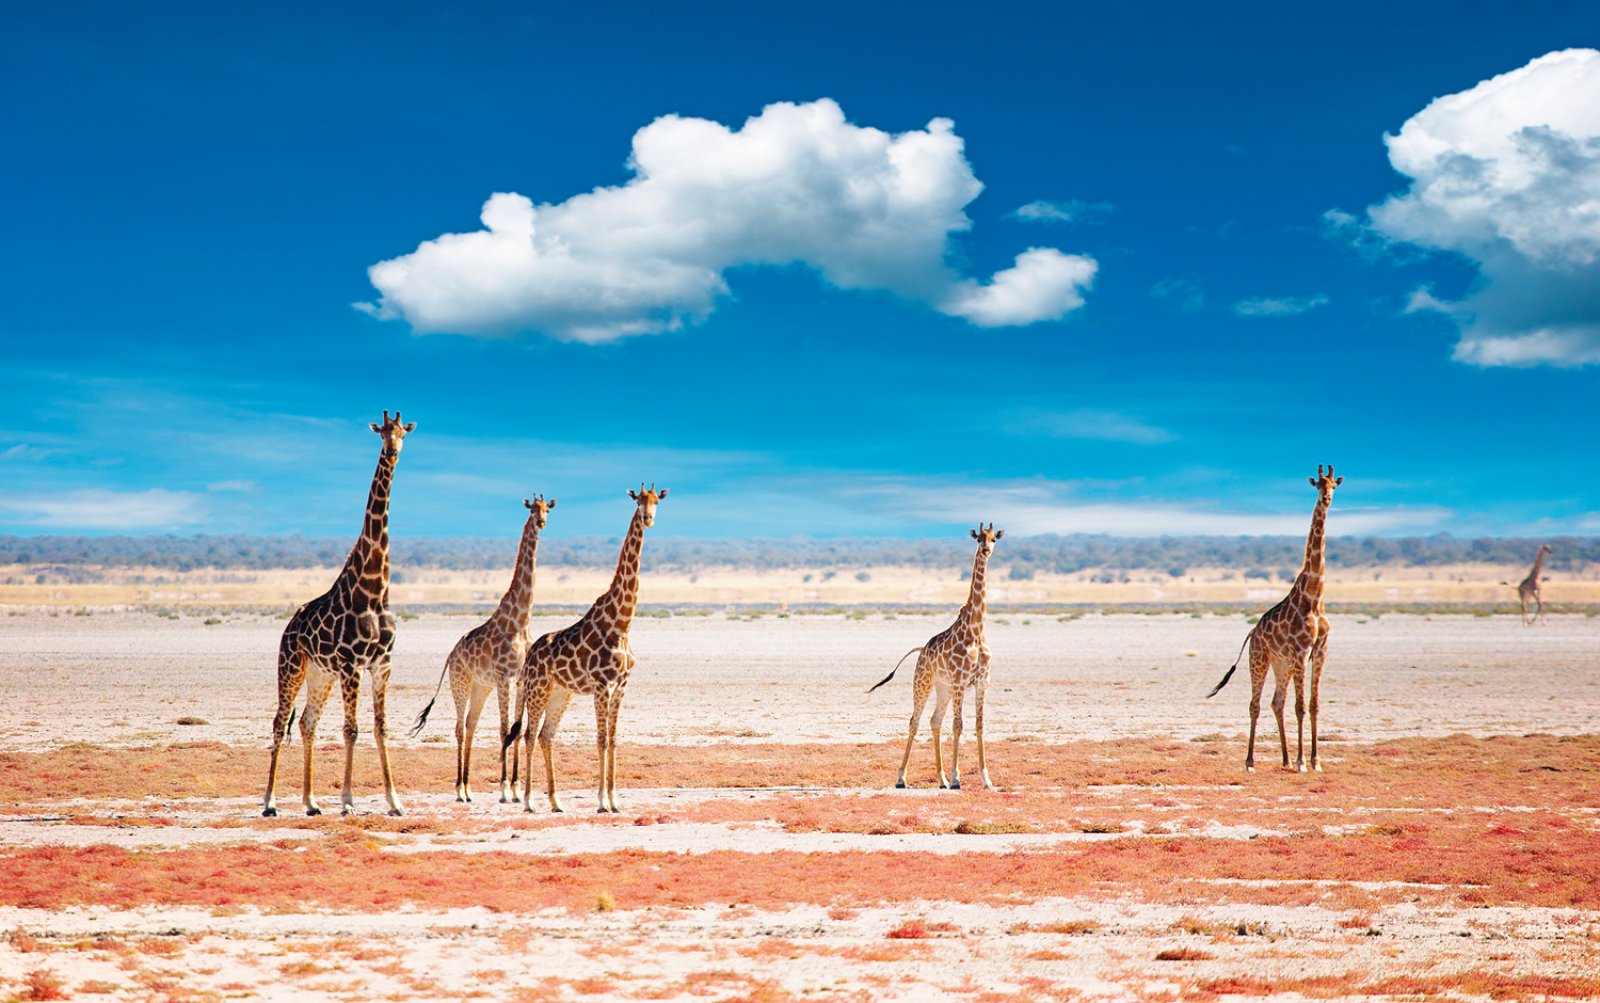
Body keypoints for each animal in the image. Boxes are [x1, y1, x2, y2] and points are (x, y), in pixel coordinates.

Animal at [262, 407, 416, 815]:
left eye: (403, 434)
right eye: (381, 433)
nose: (392, 453)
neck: (374, 590)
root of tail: (289, 627)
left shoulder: (382, 663)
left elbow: (380, 727)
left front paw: (395, 801)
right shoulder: (351, 664)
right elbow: (352, 729)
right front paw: (347, 801)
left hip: (320, 675)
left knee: (306, 723)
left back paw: (311, 801)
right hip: (292, 666)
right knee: (280, 721)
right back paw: (269, 802)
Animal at [412, 492, 556, 799]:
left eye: (548, 509)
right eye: (532, 509)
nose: (541, 522)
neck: (521, 620)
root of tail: (451, 655)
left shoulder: (520, 680)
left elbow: (517, 728)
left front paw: (515, 786)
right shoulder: (504, 677)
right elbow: (503, 729)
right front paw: (504, 788)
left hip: (481, 686)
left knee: (471, 724)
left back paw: (467, 787)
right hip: (460, 681)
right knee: (459, 727)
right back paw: (459, 788)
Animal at [508, 483, 665, 812]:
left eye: (657, 500)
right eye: (638, 501)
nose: (648, 518)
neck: (622, 624)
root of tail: (530, 656)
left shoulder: (621, 686)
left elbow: (613, 739)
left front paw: (615, 800)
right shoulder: (601, 686)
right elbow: (601, 739)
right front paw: (603, 801)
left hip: (561, 693)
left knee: (546, 736)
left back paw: (556, 801)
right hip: (537, 689)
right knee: (529, 735)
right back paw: (528, 800)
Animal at [870, 524, 1004, 793]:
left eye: (994, 539)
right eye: (978, 539)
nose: (986, 550)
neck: (976, 630)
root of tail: (922, 650)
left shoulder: (982, 683)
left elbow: (979, 726)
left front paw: (987, 780)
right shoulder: (960, 682)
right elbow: (958, 725)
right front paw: (956, 779)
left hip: (942, 687)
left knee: (934, 721)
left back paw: (940, 779)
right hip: (923, 682)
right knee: (915, 721)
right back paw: (902, 778)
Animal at [1203, 467, 1344, 774]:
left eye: (1334, 486)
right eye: (1318, 485)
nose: (1327, 499)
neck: (1314, 597)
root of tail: (1252, 632)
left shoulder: (1321, 651)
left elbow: (1313, 705)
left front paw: (1315, 761)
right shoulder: (1302, 652)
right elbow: (1300, 707)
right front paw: (1303, 762)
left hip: (1281, 664)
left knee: (1276, 702)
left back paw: (1286, 759)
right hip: (1260, 658)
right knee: (1255, 705)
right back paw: (1251, 762)